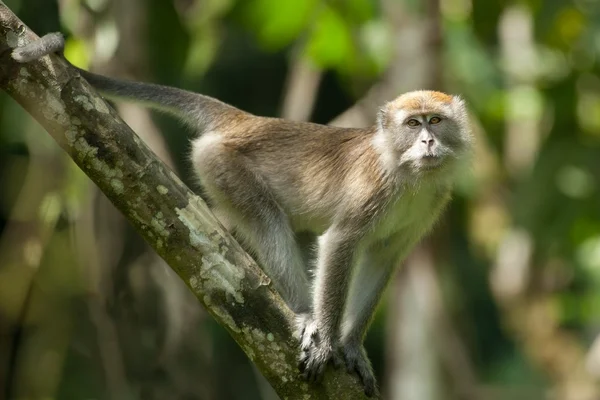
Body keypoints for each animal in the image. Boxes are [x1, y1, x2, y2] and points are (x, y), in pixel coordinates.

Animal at [11, 32, 474, 396]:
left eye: (436, 120)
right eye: (413, 124)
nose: (428, 142)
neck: (407, 174)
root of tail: (246, 121)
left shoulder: (429, 205)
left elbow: (383, 256)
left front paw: (351, 347)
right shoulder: (375, 189)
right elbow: (340, 243)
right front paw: (326, 340)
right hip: (221, 163)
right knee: (268, 221)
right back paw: (304, 315)